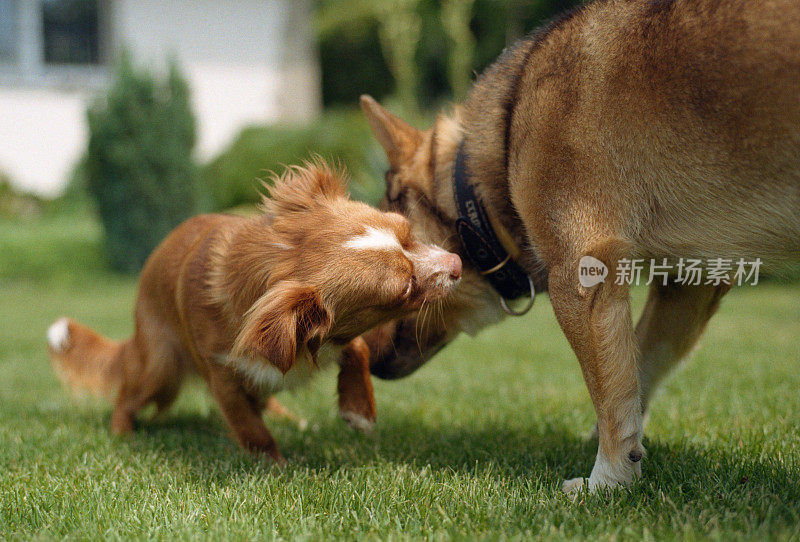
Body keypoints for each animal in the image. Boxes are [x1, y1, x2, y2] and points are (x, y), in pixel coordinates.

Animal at [48, 163, 462, 464]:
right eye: (404, 288)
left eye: (408, 233)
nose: (458, 264)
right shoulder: (223, 376)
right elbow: (249, 427)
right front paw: (273, 464)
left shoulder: (332, 336)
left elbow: (356, 349)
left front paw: (358, 409)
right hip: (160, 367)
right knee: (129, 395)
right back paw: (123, 432)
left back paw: (290, 418)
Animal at [360, 0, 796, 492]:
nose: (365, 361)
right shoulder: (691, 282)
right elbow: (635, 369)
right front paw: (626, 454)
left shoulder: (580, 273)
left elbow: (609, 394)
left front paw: (607, 481)